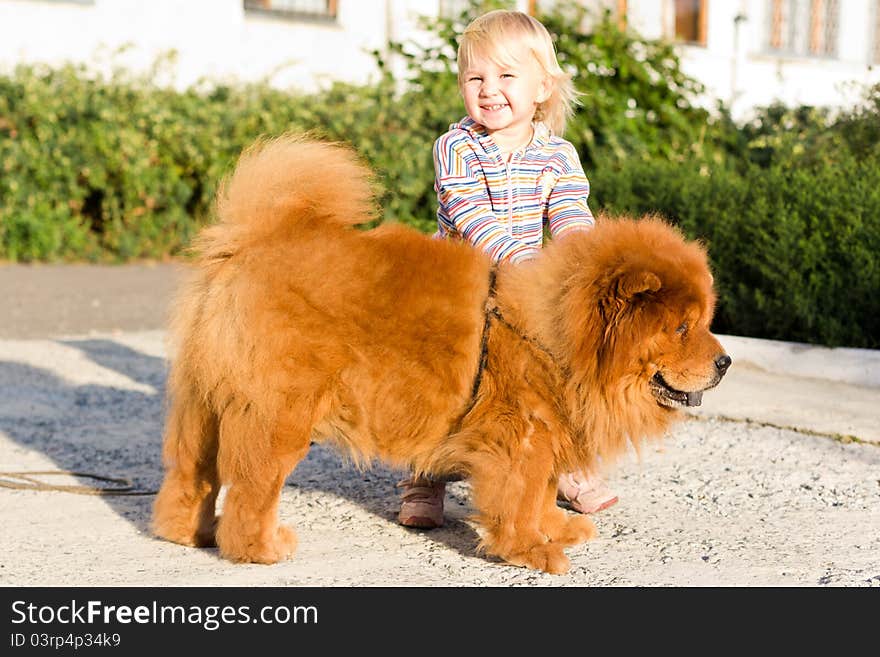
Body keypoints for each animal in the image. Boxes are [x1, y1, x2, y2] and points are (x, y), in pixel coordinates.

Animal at [153, 135, 728, 576]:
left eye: (705, 321)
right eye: (681, 328)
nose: (724, 362)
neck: (555, 335)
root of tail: (249, 244)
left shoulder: (548, 433)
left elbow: (544, 493)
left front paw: (558, 529)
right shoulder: (522, 436)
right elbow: (521, 499)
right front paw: (532, 550)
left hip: (204, 402)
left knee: (192, 475)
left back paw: (187, 534)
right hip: (280, 416)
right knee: (251, 490)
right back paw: (262, 548)